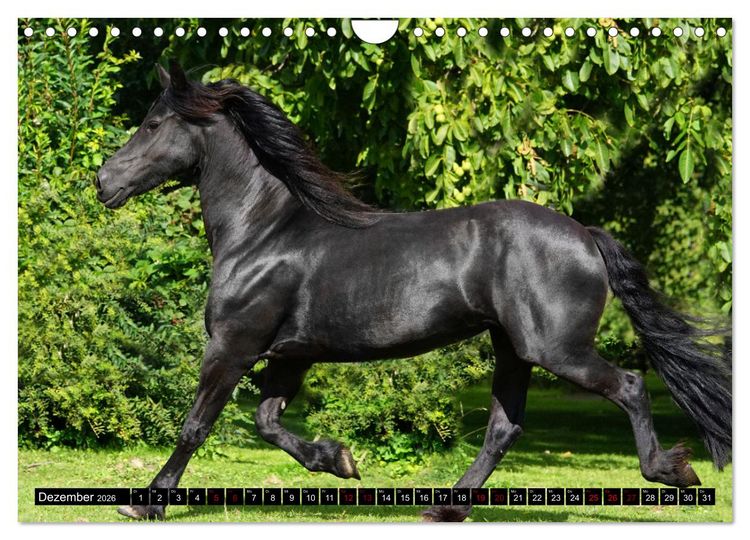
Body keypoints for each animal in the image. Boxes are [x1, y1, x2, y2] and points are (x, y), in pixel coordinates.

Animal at [95, 62, 732, 522]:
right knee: (504, 428)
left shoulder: (233, 346)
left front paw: (146, 502)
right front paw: (340, 461)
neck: (263, 232)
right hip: (512, 349)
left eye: (153, 124)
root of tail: (585, 235)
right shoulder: (290, 356)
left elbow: (196, 425)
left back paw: (672, 470)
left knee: (628, 386)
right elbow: (267, 422)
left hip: (557, 350)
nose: (104, 181)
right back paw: (446, 507)